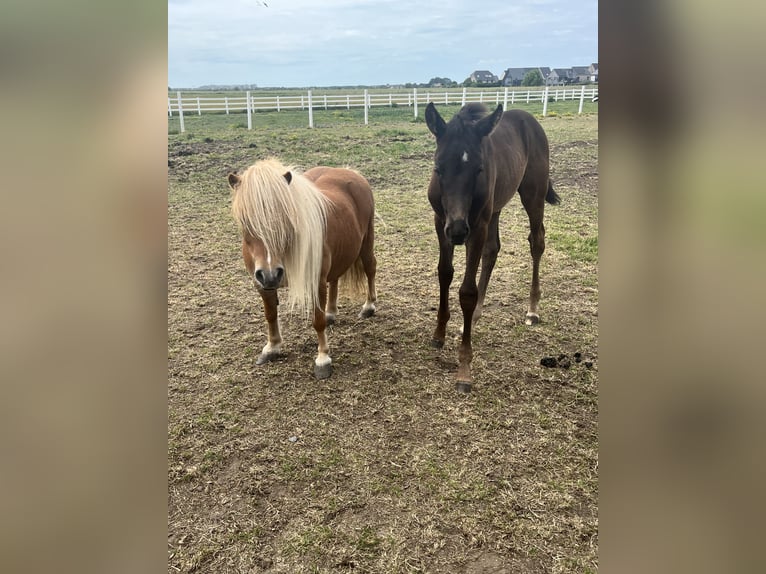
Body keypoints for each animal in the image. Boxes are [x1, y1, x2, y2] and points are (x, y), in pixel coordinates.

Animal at [227, 158, 377, 379]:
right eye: (246, 221)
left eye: (285, 217)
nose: (271, 274)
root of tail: (351, 173)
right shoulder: (261, 284)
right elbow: (270, 315)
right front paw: (271, 348)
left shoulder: (315, 282)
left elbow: (317, 320)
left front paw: (323, 359)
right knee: (335, 279)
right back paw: (331, 312)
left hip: (366, 242)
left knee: (370, 269)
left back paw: (369, 306)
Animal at [424, 102, 560, 393]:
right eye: (438, 168)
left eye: (478, 169)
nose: (458, 231)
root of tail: (530, 120)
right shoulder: (440, 222)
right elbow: (444, 273)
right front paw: (439, 333)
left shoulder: (476, 226)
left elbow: (467, 291)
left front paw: (464, 369)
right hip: (495, 208)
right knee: (492, 250)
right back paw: (475, 315)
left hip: (532, 194)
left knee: (537, 241)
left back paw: (532, 309)